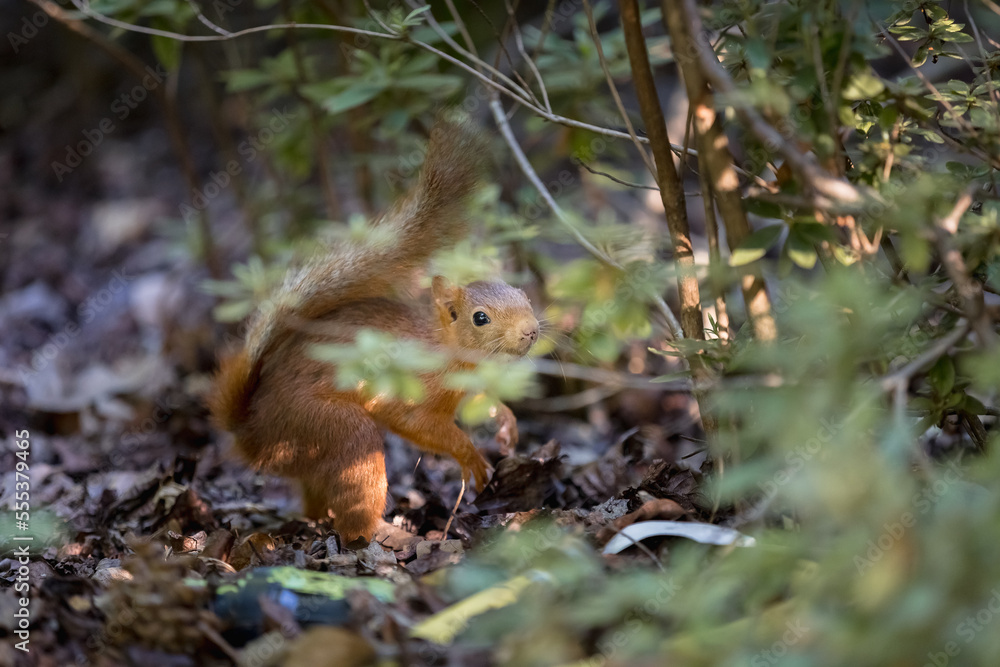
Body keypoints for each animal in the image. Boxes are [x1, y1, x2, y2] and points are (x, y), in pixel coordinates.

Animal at [208, 121, 539, 543]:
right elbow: (415, 423)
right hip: (334, 430)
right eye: (480, 318)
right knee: (354, 512)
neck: (445, 349)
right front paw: (470, 455)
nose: (531, 331)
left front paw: (506, 423)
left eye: (523, 295)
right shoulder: (412, 390)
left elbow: (483, 400)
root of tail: (252, 435)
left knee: (315, 497)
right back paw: (388, 535)